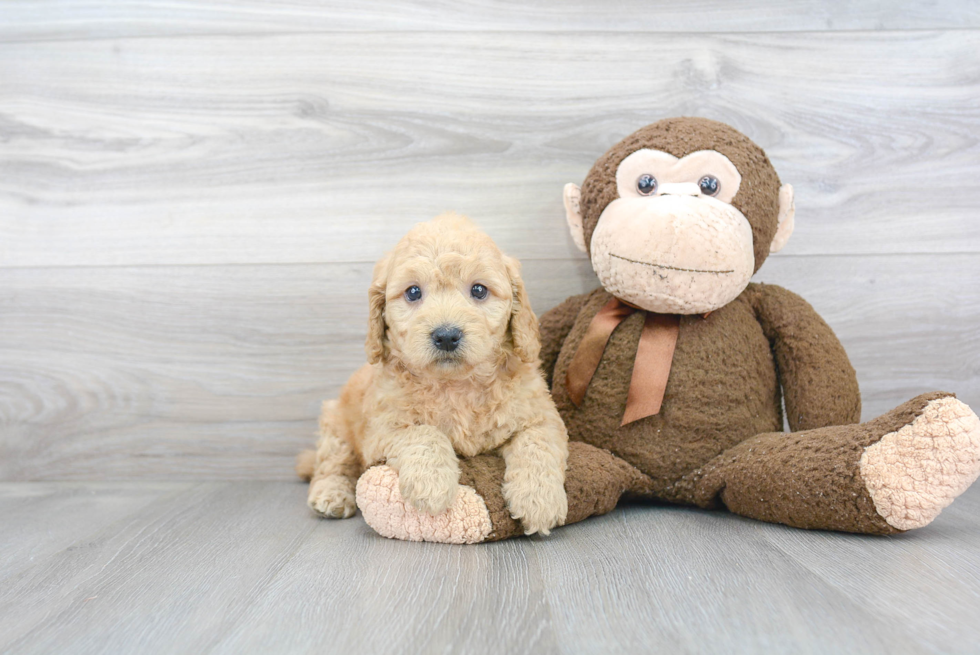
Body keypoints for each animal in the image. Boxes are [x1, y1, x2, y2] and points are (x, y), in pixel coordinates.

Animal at [300, 213, 576, 536]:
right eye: (413, 292)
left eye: (479, 290)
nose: (446, 336)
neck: (457, 385)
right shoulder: (382, 429)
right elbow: (423, 433)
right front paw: (431, 484)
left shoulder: (541, 415)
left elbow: (537, 444)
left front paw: (539, 500)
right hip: (335, 424)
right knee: (333, 464)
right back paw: (331, 494)